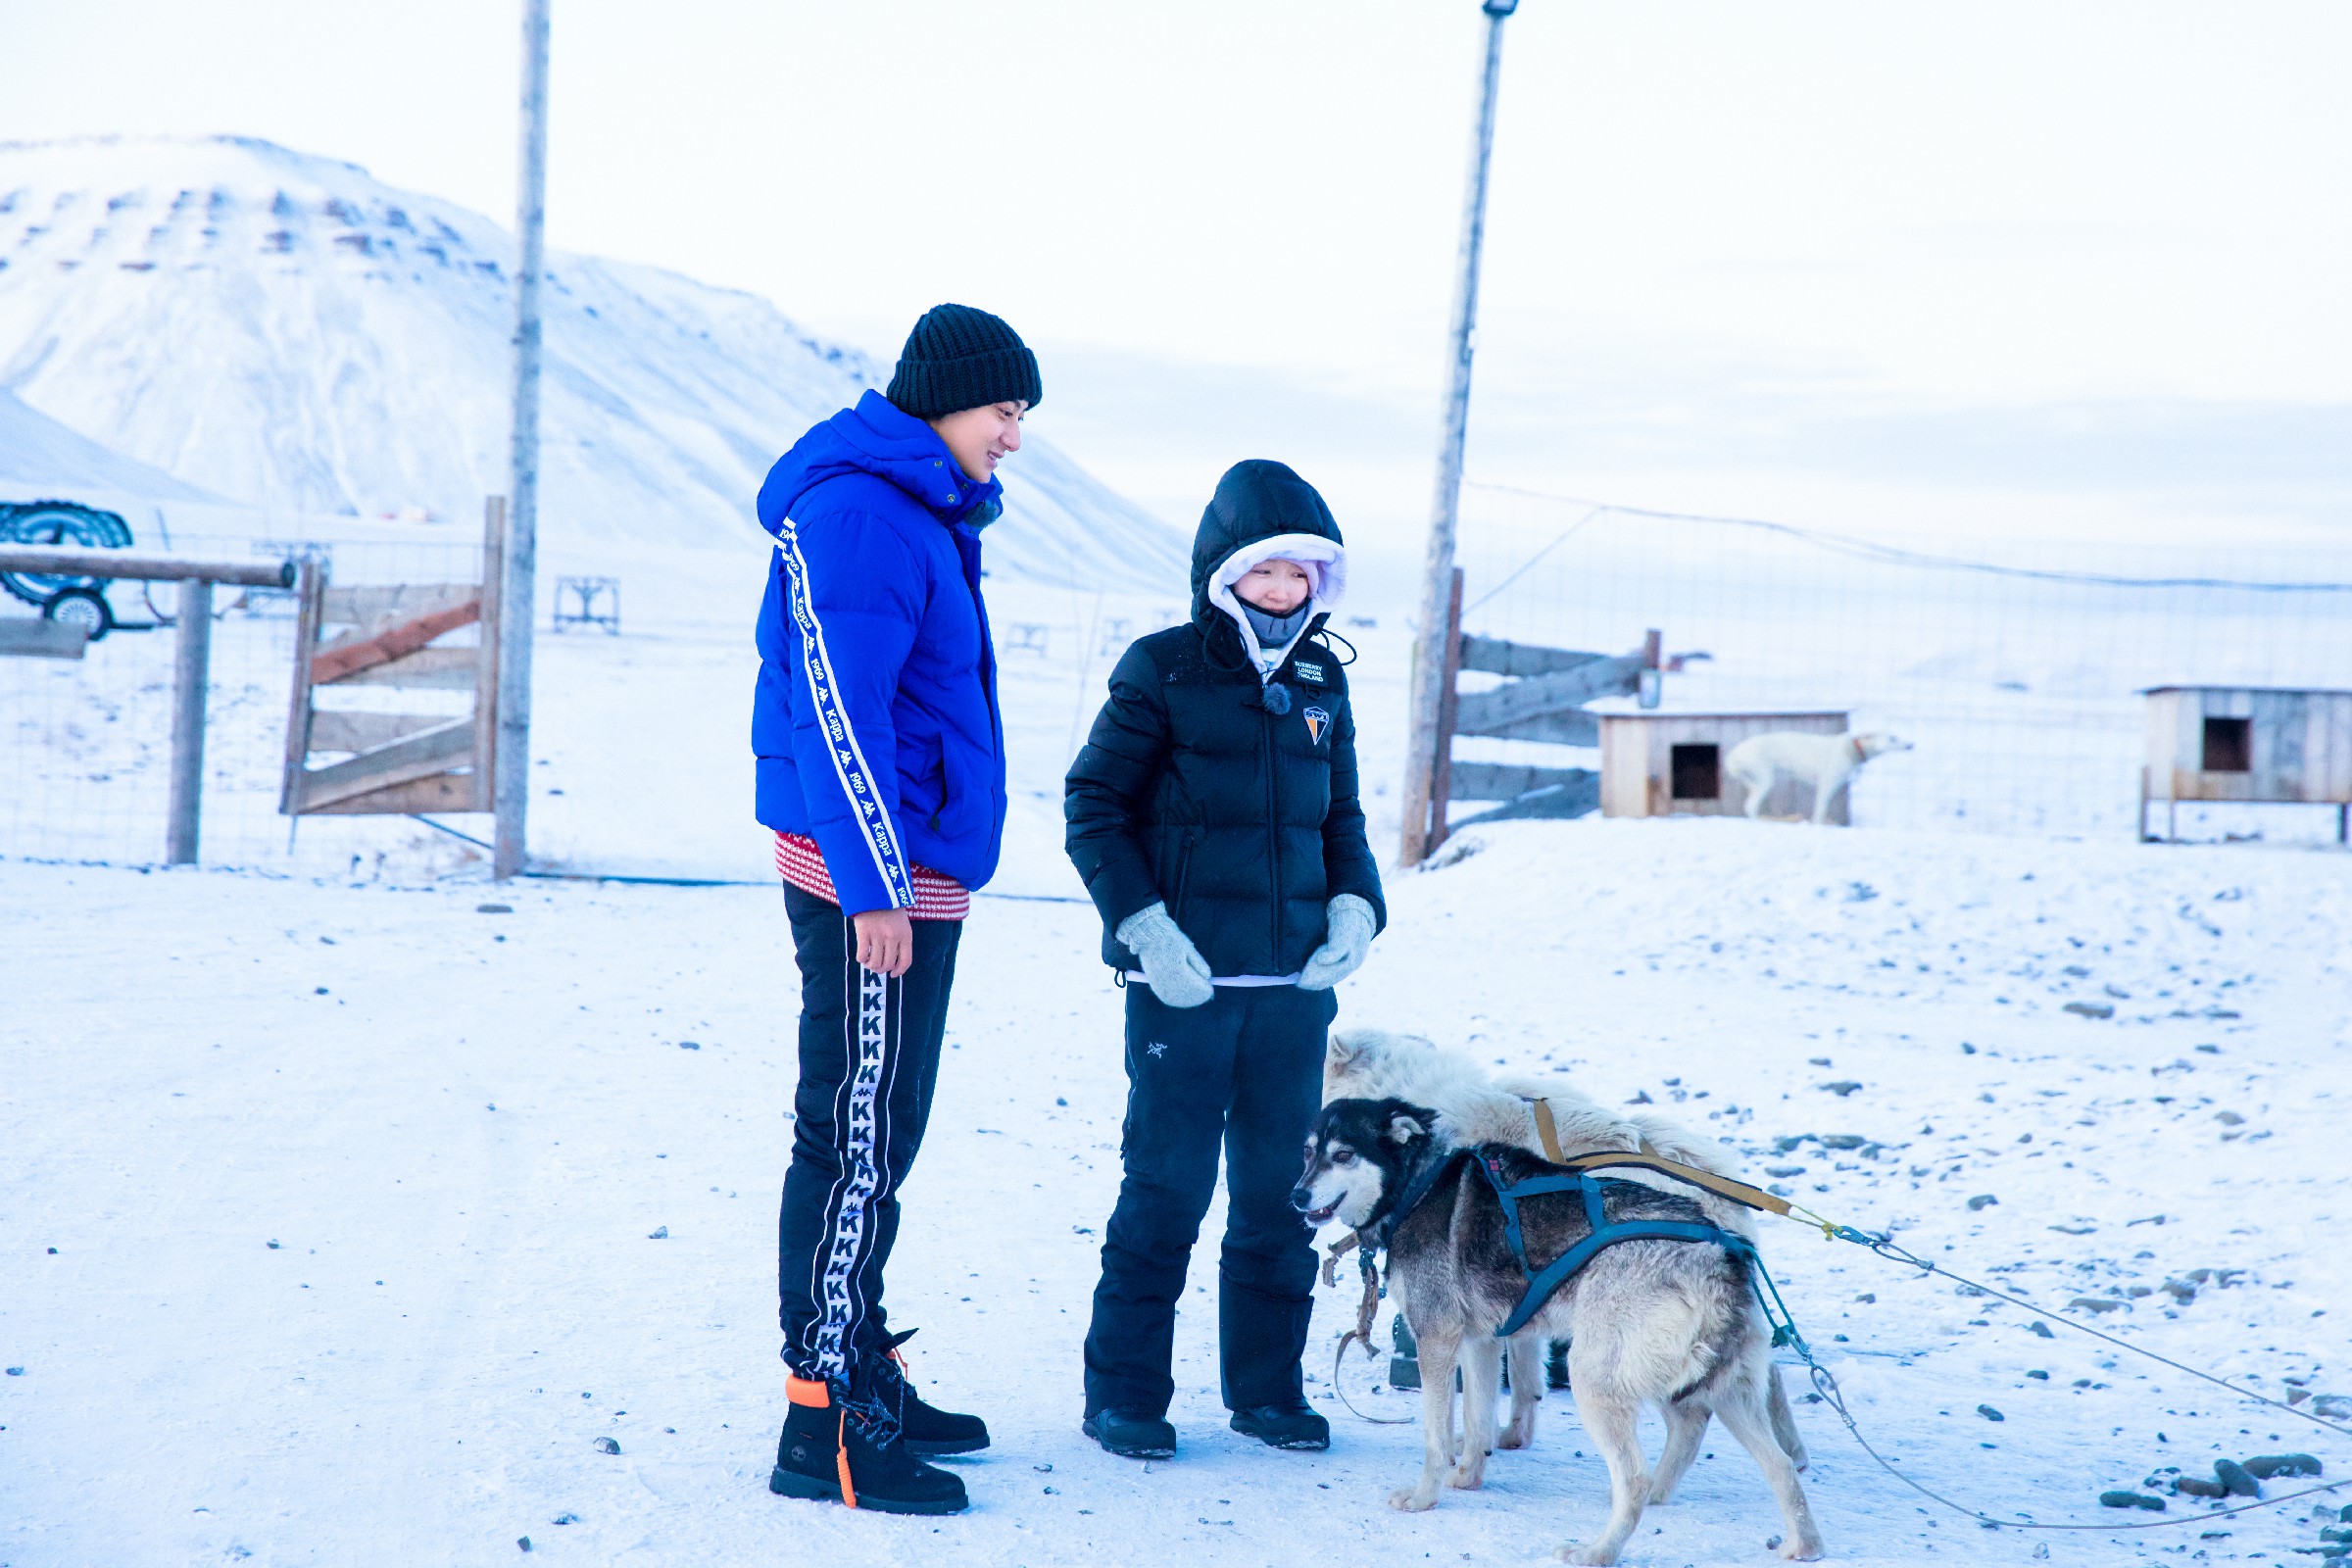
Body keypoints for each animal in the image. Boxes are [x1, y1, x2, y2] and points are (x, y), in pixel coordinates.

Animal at [1298, 1104, 1825, 1568]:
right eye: (1307, 1151)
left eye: (1343, 1155)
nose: (1298, 1196)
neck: (1419, 1185)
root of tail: (1720, 1256)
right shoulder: (1481, 1342)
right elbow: (1478, 1418)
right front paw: (1467, 1476)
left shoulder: (1437, 1338)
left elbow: (1435, 1435)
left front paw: (1426, 1496)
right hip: (1721, 1387)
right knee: (1761, 1457)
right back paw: (1803, 1544)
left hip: (1595, 1377)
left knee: (1635, 1476)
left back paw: (1599, 1551)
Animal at [1731, 733, 1909, 827]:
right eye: (1893, 738)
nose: (1910, 745)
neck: (1851, 749)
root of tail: (1734, 755)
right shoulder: (1827, 783)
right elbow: (1821, 808)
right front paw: (1818, 823)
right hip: (1764, 778)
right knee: (1751, 805)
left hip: (1754, 781)